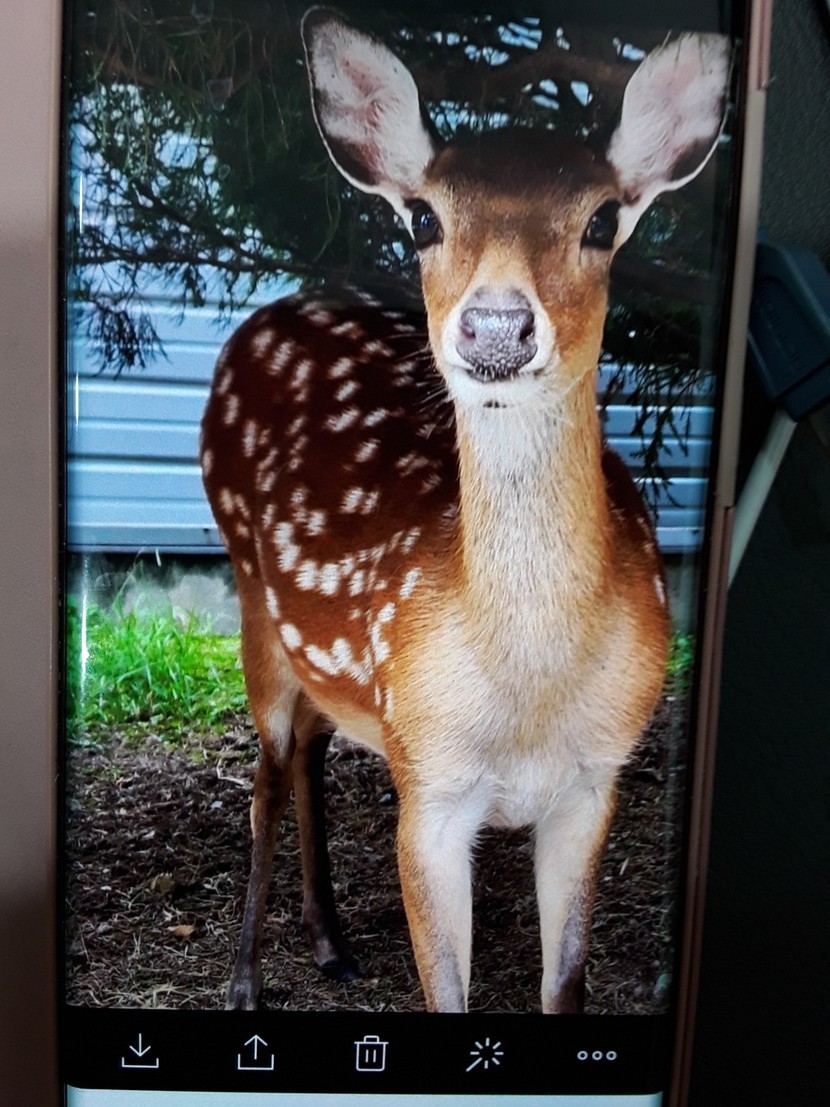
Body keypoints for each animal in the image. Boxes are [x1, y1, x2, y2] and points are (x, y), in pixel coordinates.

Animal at [201, 7, 729, 1014]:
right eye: (423, 217)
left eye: (602, 218)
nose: (494, 325)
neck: (527, 693)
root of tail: (267, 313)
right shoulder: (431, 781)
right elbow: (445, 992)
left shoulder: (597, 777)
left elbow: (565, 987)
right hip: (249, 593)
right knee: (267, 773)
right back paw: (245, 979)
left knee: (313, 751)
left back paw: (331, 943)